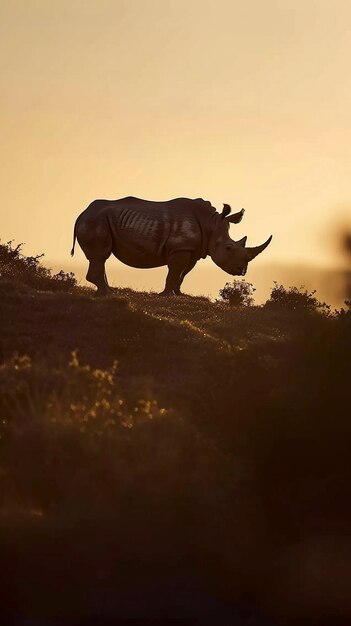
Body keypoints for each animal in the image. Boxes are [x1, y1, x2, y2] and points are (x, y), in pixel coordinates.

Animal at [71, 197, 274, 294]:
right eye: (229, 248)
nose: (242, 271)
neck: (210, 224)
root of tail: (81, 213)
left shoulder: (192, 249)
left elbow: (183, 274)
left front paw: (179, 293)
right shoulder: (180, 248)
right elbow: (175, 272)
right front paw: (166, 295)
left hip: (98, 219)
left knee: (100, 259)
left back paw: (106, 291)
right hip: (95, 220)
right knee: (100, 256)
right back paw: (107, 293)